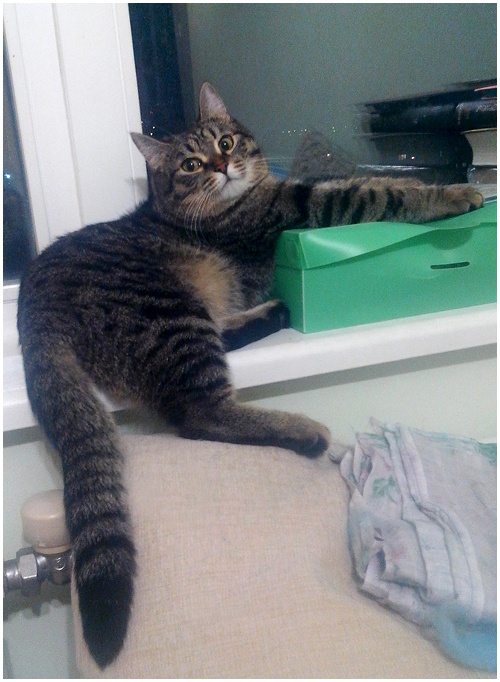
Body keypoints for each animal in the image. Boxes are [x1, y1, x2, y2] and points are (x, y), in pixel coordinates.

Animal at [17, 82, 483, 668]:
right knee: (201, 415)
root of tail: (32, 300)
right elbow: (371, 192)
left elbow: (363, 183)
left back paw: (271, 313)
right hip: (171, 315)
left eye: (225, 141)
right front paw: (451, 193)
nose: (222, 164)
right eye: (191, 163)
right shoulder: (300, 206)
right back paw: (305, 431)